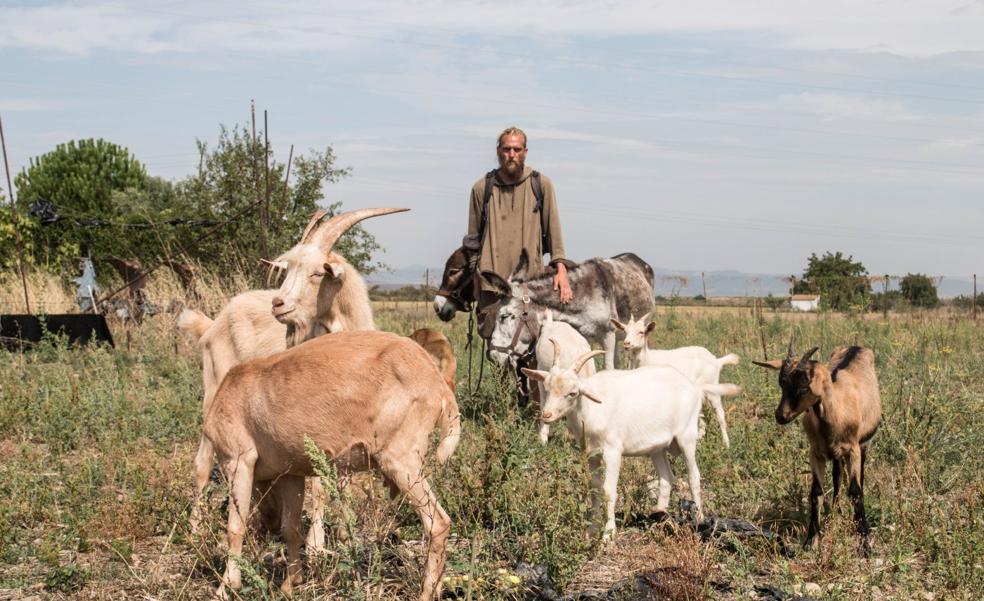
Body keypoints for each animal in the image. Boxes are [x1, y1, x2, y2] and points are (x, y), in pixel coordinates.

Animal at [208, 330, 462, 596]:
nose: (268, 524)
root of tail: (437, 384)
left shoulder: (238, 459)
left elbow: (235, 529)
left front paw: (226, 587)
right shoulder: (291, 473)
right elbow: (291, 529)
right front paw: (291, 583)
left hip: (401, 461)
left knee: (438, 523)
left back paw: (426, 592)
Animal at [524, 346, 736, 536]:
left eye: (572, 393)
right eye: (547, 388)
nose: (547, 415)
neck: (592, 409)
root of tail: (694, 387)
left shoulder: (612, 451)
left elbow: (608, 490)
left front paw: (608, 535)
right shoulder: (591, 454)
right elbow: (594, 489)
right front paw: (592, 530)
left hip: (687, 436)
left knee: (694, 475)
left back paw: (699, 520)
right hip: (657, 447)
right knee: (666, 477)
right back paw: (659, 519)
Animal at [612, 314, 740, 446]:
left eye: (641, 332)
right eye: (625, 331)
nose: (627, 343)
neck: (646, 359)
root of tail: (716, 360)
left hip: (713, 387)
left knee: (720, 413)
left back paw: (726, 444)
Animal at [752, 338, 884, 552]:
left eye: (804, 386)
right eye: (782, 383)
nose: (781, 415)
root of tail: (856, 347)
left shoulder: (853, 450)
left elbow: (856, 491)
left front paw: (864, 541)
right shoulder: (816, 453)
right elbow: (816, 493)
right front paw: (810, 540)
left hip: (864, 446)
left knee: (858, 478)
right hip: (836, 454)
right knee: (837, 476)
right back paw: (836, 510)